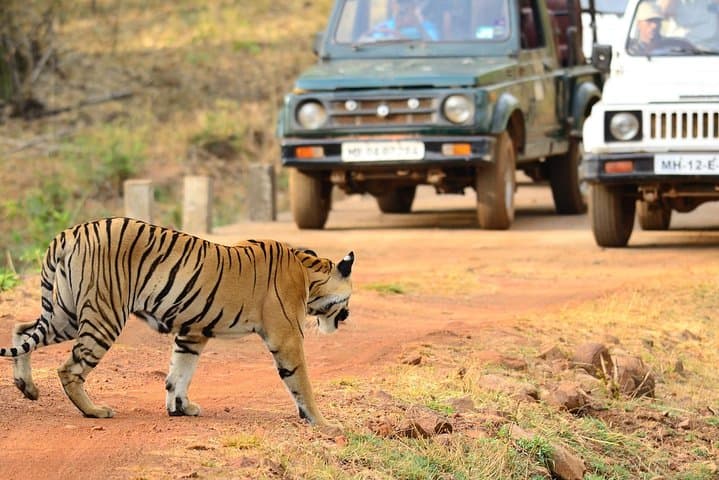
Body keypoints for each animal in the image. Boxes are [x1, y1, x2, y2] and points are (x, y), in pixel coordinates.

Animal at [0, 217, 353, 430]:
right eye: (347, 301)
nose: (348, 316)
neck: (308, 270)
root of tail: (71, 232)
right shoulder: (287, 337)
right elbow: (302, 383)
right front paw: (323, 423)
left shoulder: (192, 332)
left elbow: (179, 372)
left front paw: (180, 407)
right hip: (103, 316)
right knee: (69, 369)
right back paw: (94, 411)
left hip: (67, 314)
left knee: (21, 330)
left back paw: (27, 387)